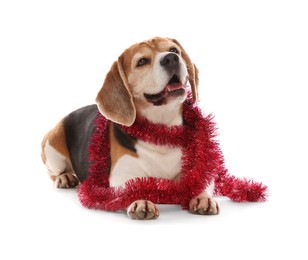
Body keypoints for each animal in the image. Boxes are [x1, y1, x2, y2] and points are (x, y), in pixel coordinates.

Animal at [41, 37, 219, 219]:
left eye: (174, 50)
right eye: (142, 61)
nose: (171, 58)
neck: (162, 130)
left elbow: (201, 181)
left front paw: (203, 198)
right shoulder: (121, 174)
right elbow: (132, 187)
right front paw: (140, 201)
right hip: (53, 144)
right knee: (53, 172)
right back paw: (65, 178)